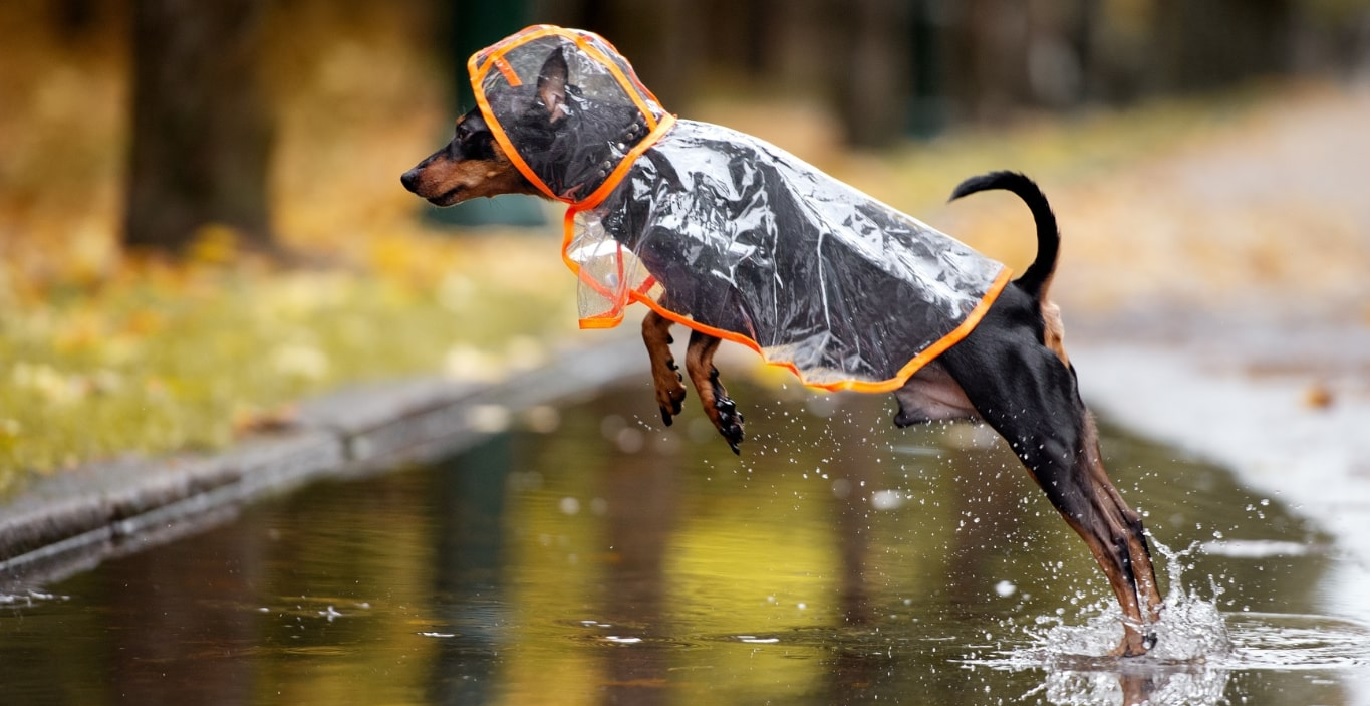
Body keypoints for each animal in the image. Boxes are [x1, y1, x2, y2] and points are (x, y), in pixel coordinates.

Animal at [400, 27, 1163, 658]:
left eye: (469, 134)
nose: (408, 175)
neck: (633, 158)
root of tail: (1026, 295)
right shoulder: (707, 295)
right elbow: (672, 334)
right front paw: (694, 395)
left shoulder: (725, 287)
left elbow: (669, 336)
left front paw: (698, 398)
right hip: (1073, 440)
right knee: (1134, 529)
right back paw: (1152, 633)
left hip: (1039, 440)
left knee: (1113, 543)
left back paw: (1133, 645)